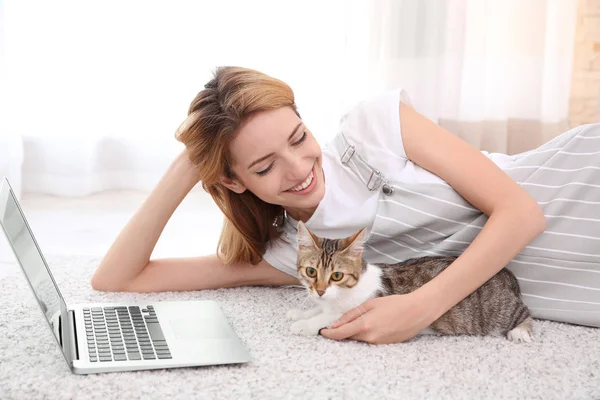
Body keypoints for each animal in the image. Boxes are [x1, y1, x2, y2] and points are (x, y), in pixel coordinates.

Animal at [288, 220, 532, 342]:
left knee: (524, 312)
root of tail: (506, 274)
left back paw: (521, 331)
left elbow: (329, 317)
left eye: (336, 275)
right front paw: (302, 313)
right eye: (311, 271)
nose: (319, 291)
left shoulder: (357, 309)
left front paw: (304, 324)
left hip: (499, 311)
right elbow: (318, 310)